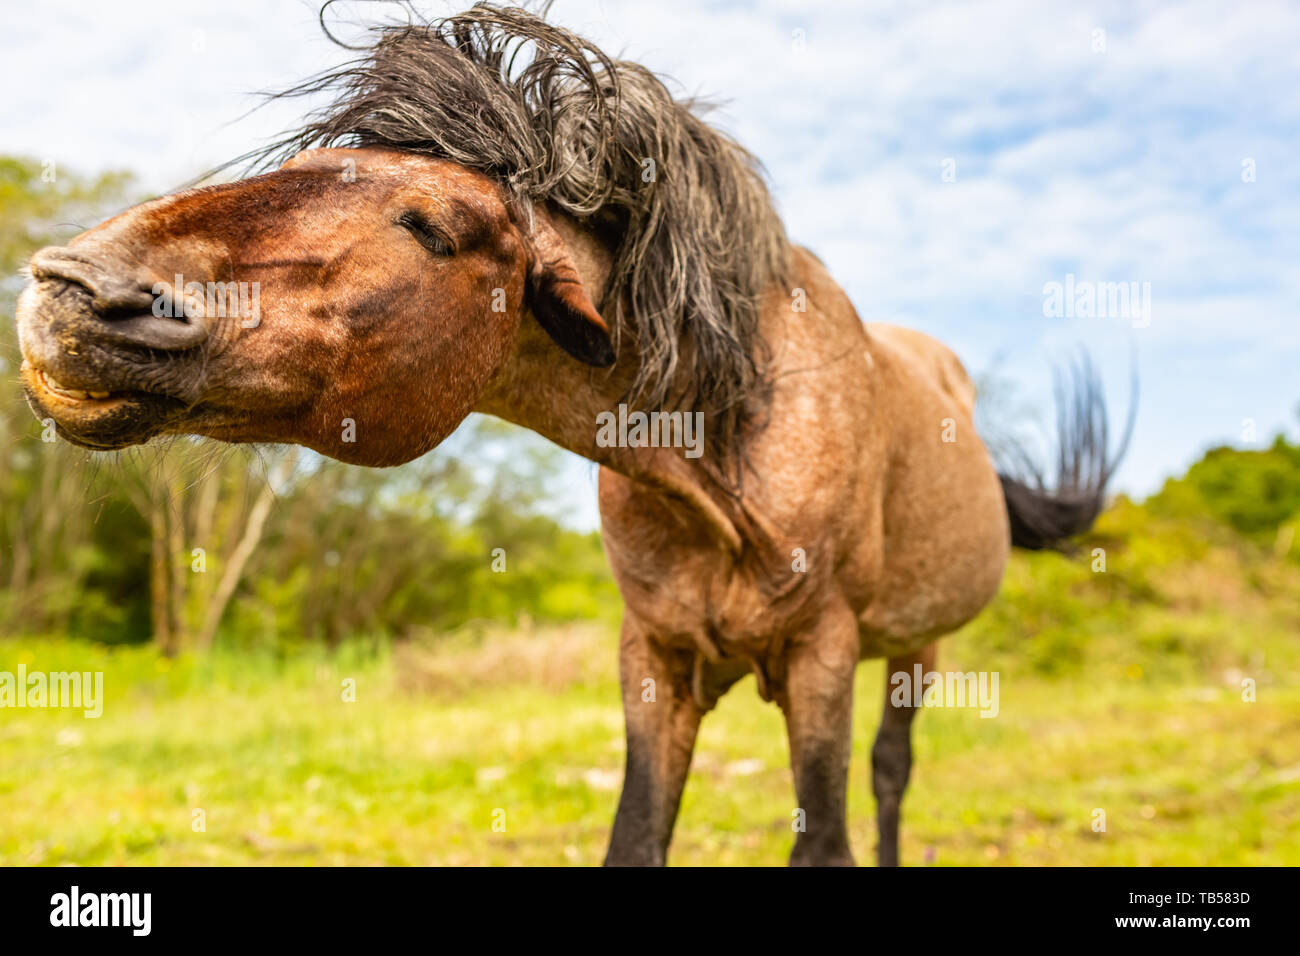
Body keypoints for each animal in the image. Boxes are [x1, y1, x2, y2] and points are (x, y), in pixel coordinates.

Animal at [12, 1, 1128, 868]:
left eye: (429, 225)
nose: (71, 292)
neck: (728, 450)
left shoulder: (822, 650)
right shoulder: (655, 657)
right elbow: (635, 838)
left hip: (912, 646)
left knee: (893, 772)